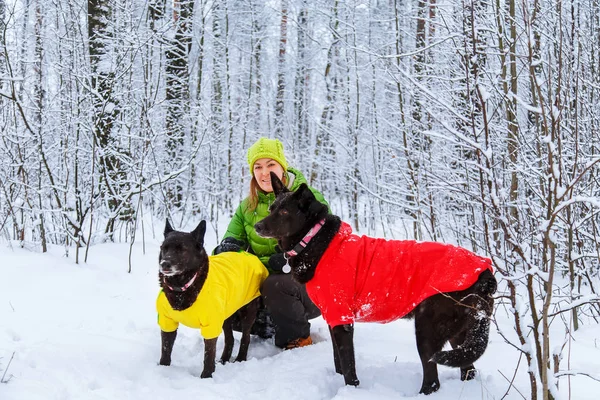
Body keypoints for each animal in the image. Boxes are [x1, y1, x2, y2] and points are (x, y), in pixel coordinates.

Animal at [157, 219, 268, 378]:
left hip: (248, 312)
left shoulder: (211, 324)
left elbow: (208, 355)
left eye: (182, 249)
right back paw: (223, 360)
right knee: (230, 339)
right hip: (226, 316)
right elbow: (166, 349)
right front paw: (163, 369)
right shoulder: (167, 321)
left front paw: (207, 376)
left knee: (245, 338)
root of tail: (249, 254)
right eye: (164, 248)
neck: (182, 286)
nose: (164, 264)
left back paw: (240, 359)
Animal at [256, 172, 496, 394]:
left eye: (284, 212)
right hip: (460, 334)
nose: (257, 226)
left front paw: (351, 390)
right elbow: (338, 361)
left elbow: (348, 365)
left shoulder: (342, 320)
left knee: (433, 380)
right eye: (272, 209)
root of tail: (483, 271)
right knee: (468, 369)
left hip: (427, 329)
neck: (314, 241)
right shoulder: (333, 317)